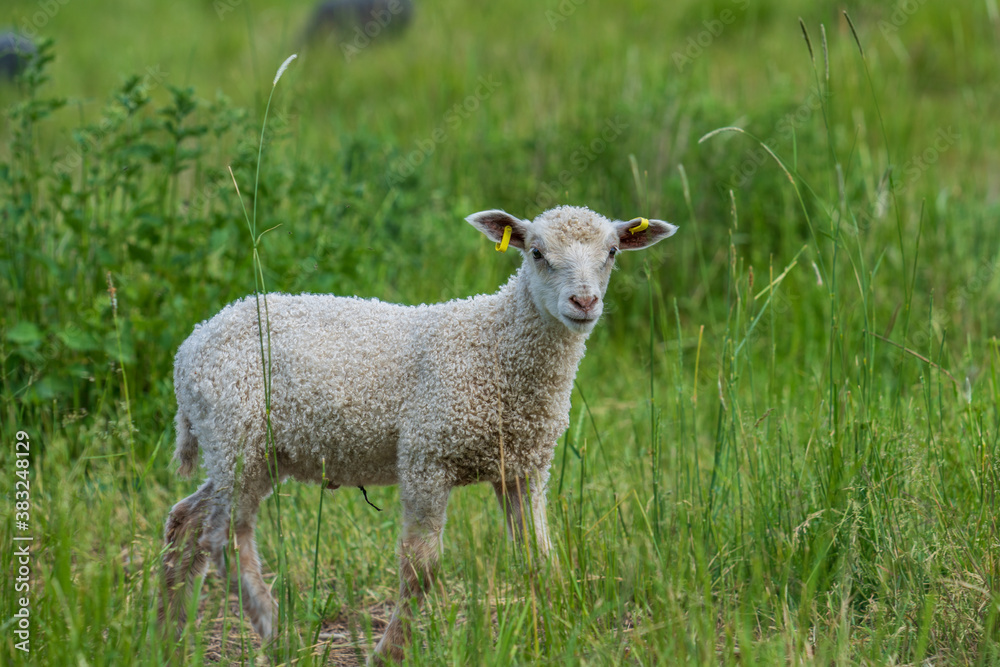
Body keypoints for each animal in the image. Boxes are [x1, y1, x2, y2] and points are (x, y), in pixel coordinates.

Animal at [161, 205, 677, 662]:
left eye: (612, 251)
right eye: (535, 252)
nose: (584, 303)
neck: (494, 345)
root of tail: (190, 346)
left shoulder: (523, 467)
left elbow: (538, 558)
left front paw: (551, 637)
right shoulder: (427, 457)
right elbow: (421, 570)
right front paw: (390, 653)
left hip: (252, 452)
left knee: (188, 519)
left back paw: (169, 630)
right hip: (237, 435)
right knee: (226, 538)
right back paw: (277, 633)